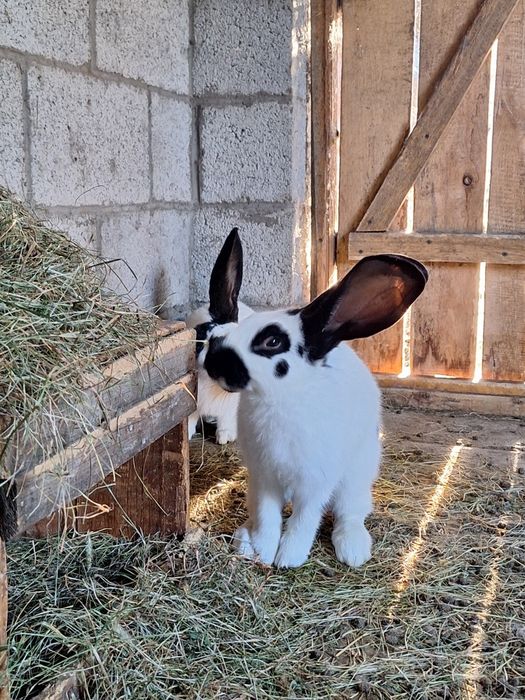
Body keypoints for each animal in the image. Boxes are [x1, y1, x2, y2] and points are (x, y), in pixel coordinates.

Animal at [203, 254, 428, 568]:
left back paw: (353, 549)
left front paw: (289, 557)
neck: (279, 398)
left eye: (272, 341)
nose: (212, 362)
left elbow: (303, 520)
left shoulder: (316, 482)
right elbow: (267, 517)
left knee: (351, 511)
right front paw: (263, 550)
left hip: (355, 478)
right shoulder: (264, 478)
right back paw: (245, 540)